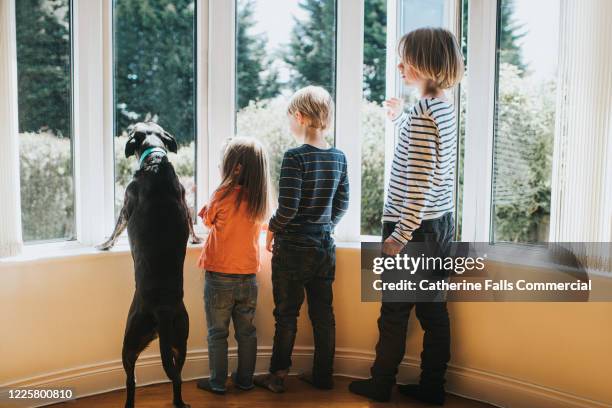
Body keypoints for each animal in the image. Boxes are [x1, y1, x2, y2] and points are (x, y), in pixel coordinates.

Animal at [97, 121, 200, 408]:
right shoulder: (185, 201)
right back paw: (179, 402)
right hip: (180, 339)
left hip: (129, 340)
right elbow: (191, 223)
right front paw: (197, 239)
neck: (155, 161)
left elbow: (116, 229)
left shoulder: (126, 204)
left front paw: (104, 244)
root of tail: (162, 310)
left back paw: (129, 402)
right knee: (176, 376)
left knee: (131, 380)